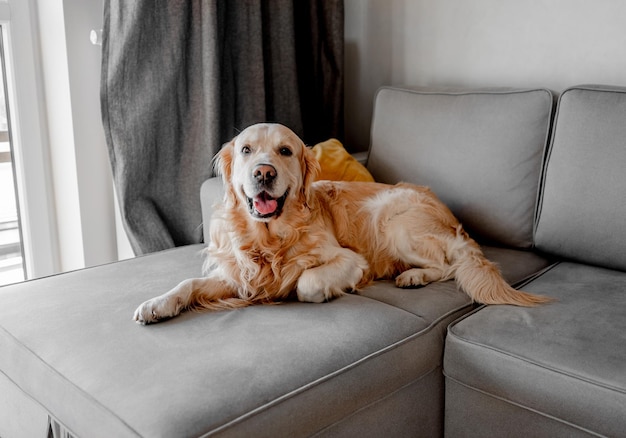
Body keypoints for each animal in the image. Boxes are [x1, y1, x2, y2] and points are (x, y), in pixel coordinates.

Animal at [133, 121, 544, 324]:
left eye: (285, 151)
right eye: (246, 150)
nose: (263, 173)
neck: (270, 238)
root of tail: (451, 217)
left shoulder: (350, 259)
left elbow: (306, 283)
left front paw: (299, 286)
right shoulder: (239, 273)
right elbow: (189, 283)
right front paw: (157, 304)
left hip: (392, 220)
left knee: (447, 265)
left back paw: (412, 276)